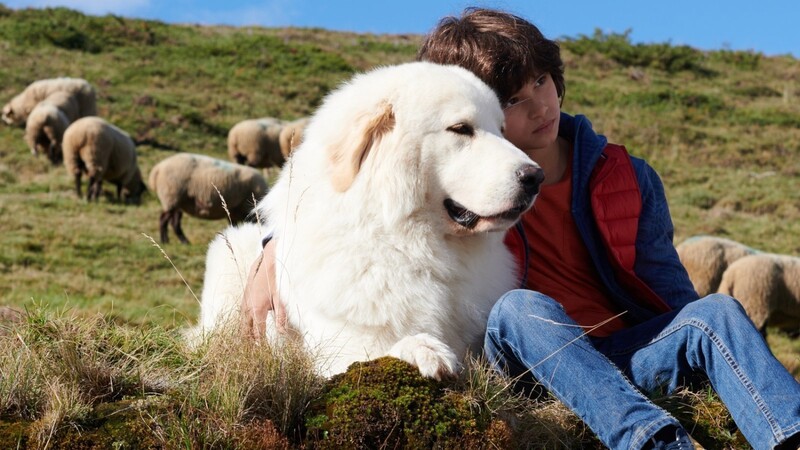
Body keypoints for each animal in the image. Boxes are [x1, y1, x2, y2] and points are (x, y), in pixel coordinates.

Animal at [198, 62, 544, 380]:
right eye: (461, 128)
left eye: (502, 130)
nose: (536, 177)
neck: (408, 247)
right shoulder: (339, 348)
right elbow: (380, 351)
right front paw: (422, 349)